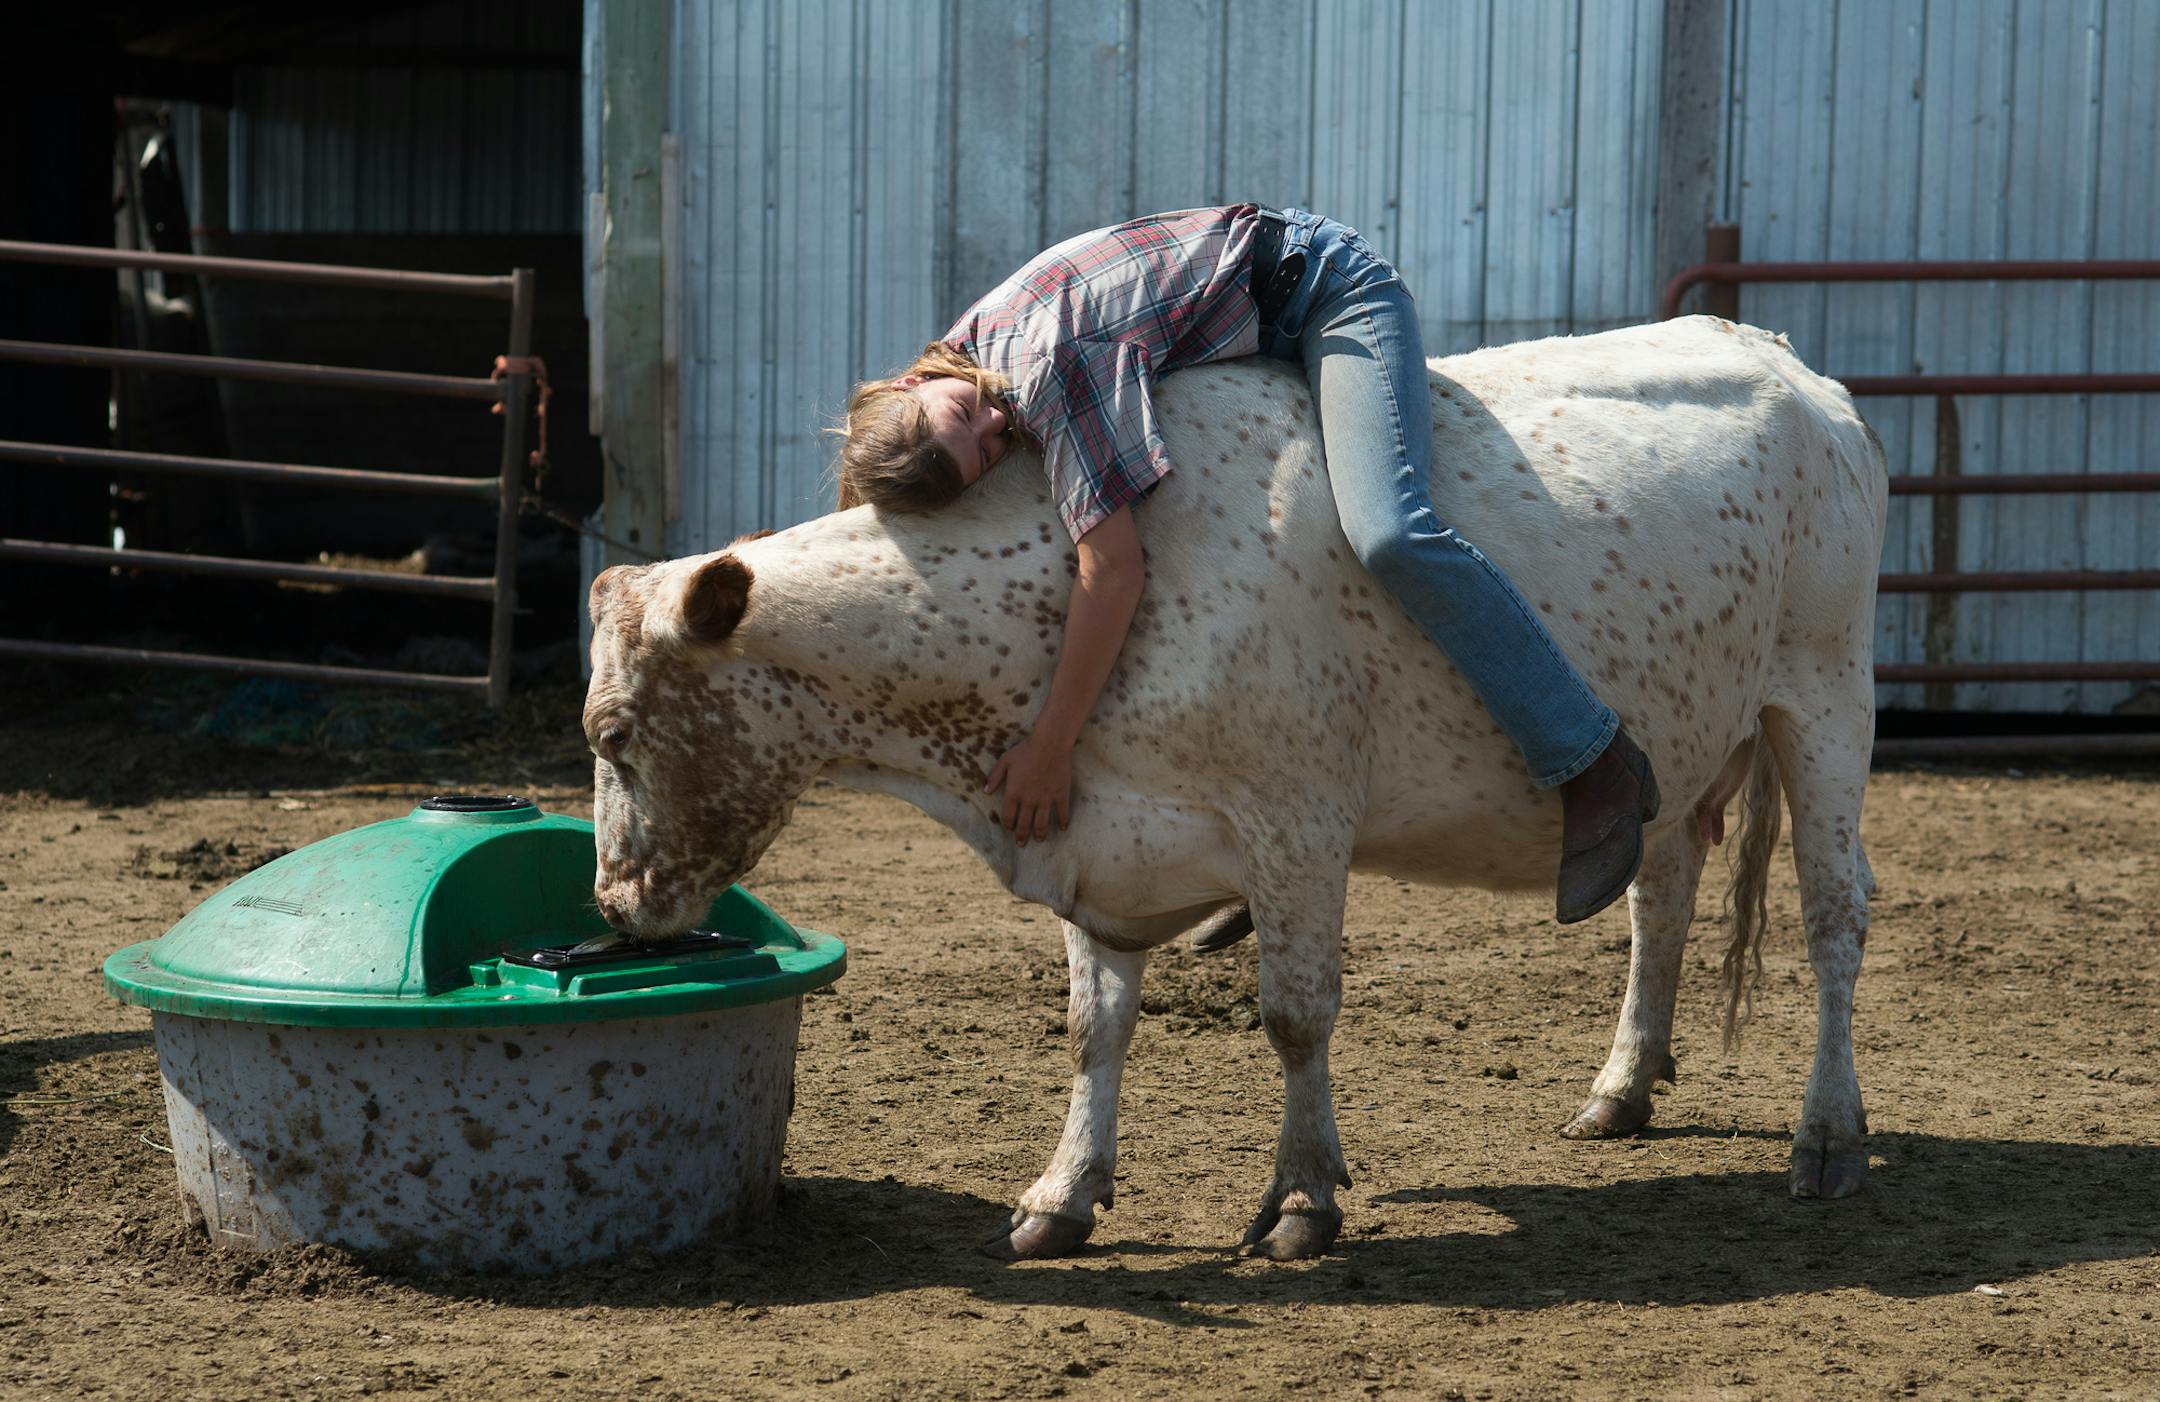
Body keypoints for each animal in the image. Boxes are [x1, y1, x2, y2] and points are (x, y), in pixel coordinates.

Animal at [580, 316, 1889, 1261]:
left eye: (613, 730)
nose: (614, 903)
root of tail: (1781, 358)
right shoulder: (1096, 836)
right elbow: (1094, 1027)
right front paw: (1065, 1192)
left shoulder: (1297, 821)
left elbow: (1295, 1015)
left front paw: (1303, 1198)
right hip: (1692, 734)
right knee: (1661, 898)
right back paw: (1622, 1086)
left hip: (1825, 693)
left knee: (1836, 914)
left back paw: (1826, 1133)